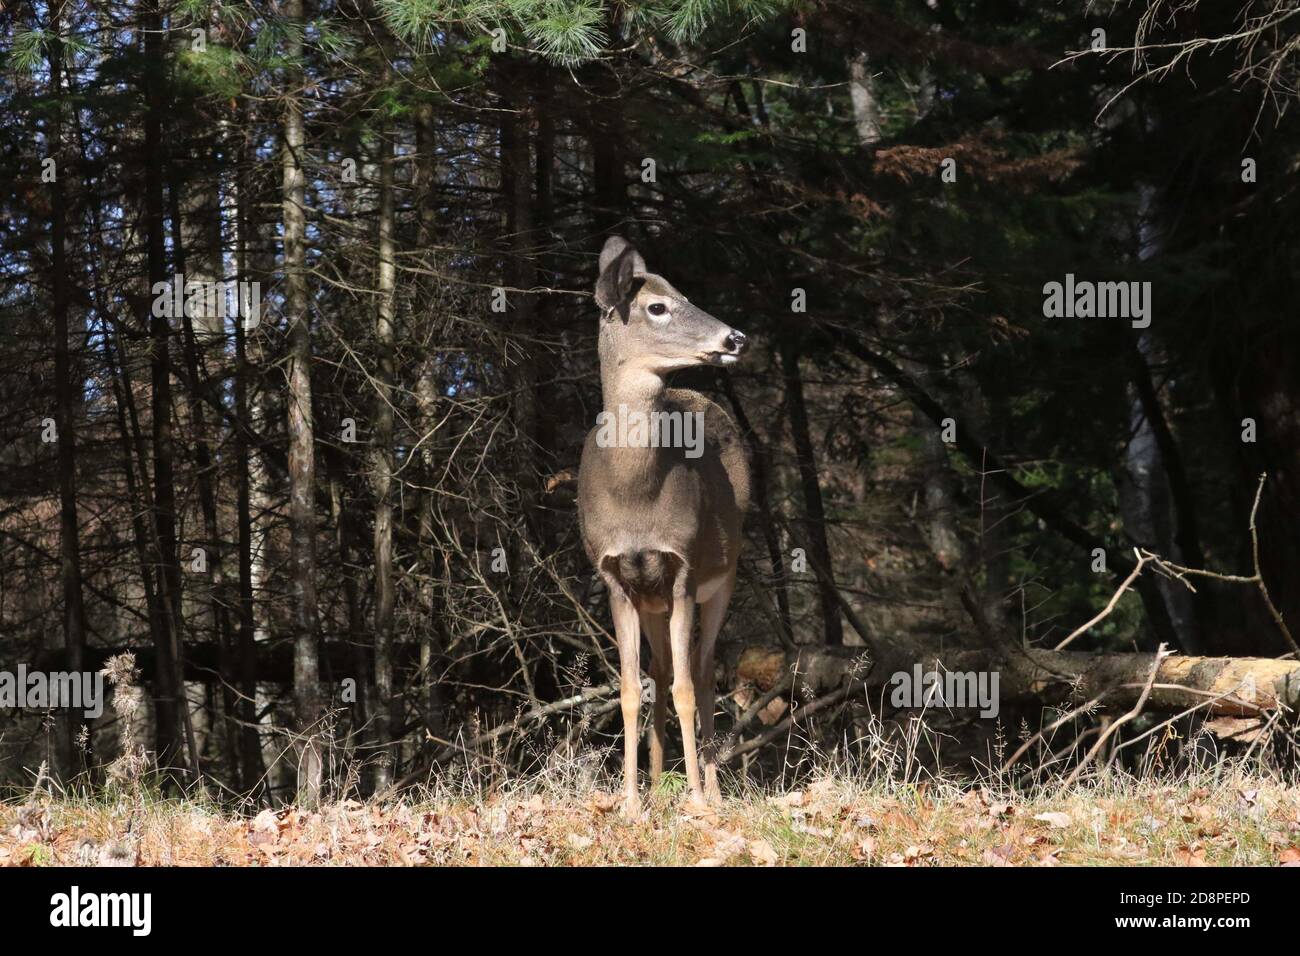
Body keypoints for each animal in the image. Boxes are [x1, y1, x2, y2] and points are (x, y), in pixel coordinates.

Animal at [579, 238, 754, 816]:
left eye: (686, 294)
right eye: (657, 306)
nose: (735, 337)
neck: (635, 493)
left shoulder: (682, 569)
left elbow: (684, 689)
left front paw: (697, 801)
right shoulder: (614, 576)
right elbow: (631, 690)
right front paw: (631, 802)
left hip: (723, 577)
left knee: (700, 671)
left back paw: (714, 792)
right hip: (650, 599)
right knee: (660, 672)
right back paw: (657, 786)